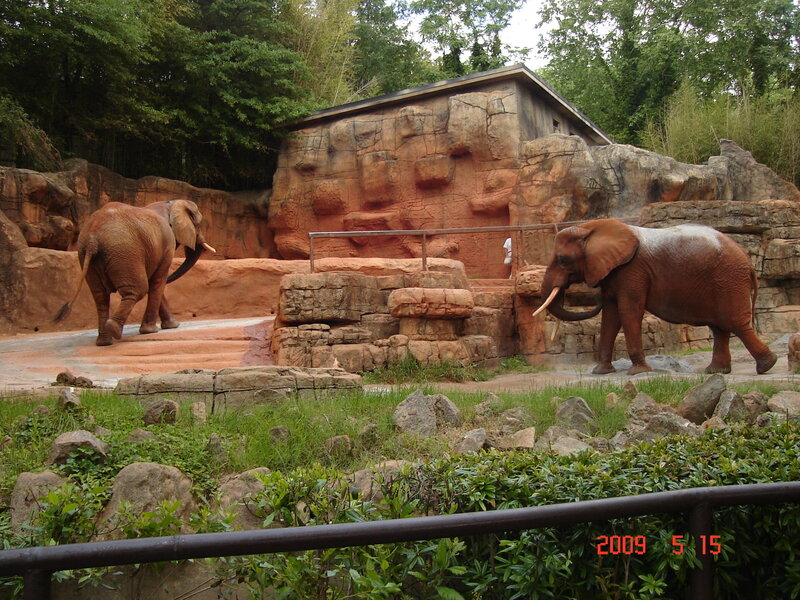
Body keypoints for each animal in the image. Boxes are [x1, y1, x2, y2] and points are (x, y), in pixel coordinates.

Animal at [55, 200, 216, 346]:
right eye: (198, 224)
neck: (171, 204)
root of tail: (92, 239)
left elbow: (154, 282)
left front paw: (171, 326)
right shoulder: (167, 244)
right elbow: (158, 281)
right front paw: (153, 330)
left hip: (86, 255)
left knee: (100, 297)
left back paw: (104, 341)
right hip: (124, 251)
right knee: (138, 289)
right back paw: (113, 329)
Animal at [533, 218, 777, 375]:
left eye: (563, 260)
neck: (590, 229)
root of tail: (748, 261)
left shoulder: (633, 270)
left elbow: (628, 311)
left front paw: (637, 372)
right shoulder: (615, 272)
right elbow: (610, 316)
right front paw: (600, 372)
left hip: (728, 279)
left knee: (735, 323)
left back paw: (767, 366)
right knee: (720, 328)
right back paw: (716, 372)